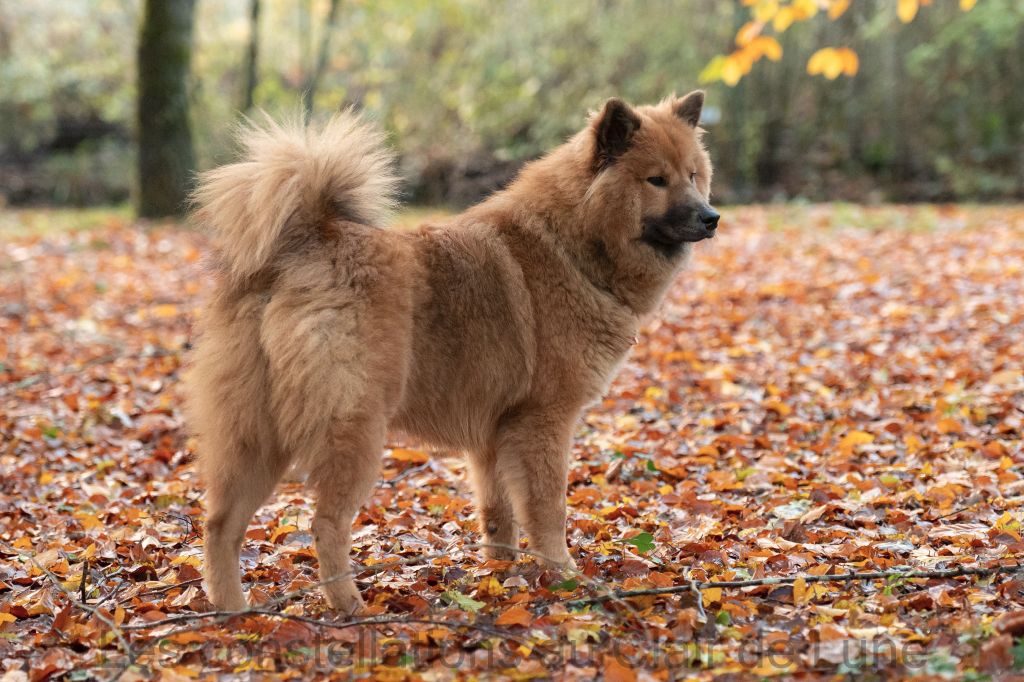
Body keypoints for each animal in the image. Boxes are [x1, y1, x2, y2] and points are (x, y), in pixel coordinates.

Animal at [190, 93, 720, 614]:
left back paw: (230, 610)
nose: (711, 217)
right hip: (353, 429)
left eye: (694, 175)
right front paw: (566, 577)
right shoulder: (544, 422)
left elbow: (498, 516)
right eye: (656, 180)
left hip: (257, 435)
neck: (573, 244)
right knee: (326, 524)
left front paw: (504, 579)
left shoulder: (493, 435)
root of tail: (307, 244)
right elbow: (548, 509)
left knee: (220, 525)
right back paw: (350, 606)